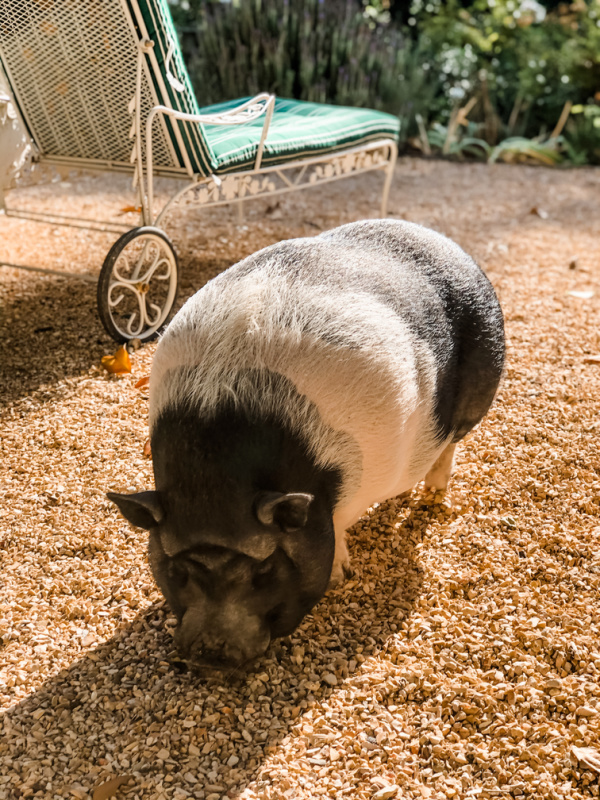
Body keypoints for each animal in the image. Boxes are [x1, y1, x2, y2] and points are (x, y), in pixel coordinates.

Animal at [108, 219, 505, 669]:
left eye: (264, 571)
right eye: (177, 571)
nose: (211, 654)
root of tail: (443, 241)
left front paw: (339, 578)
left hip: (479, 393)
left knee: (450, 446)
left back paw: (435, 496)